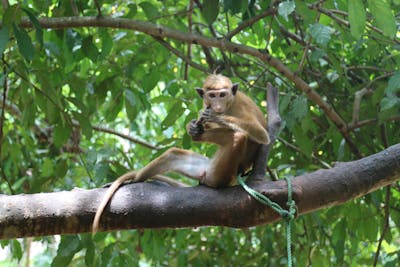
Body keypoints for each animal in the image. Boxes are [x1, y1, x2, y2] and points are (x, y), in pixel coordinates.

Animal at [92, 74, 270, 233]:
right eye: (212, 95)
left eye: (222, 95)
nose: (217, 106)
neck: (230, 104)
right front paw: (193, 126)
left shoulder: (241, 106)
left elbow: (261, 135)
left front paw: (212, 117)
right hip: (206, 166)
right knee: (173, 154)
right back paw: (135, 180)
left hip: (220, 174)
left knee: (239, 136)